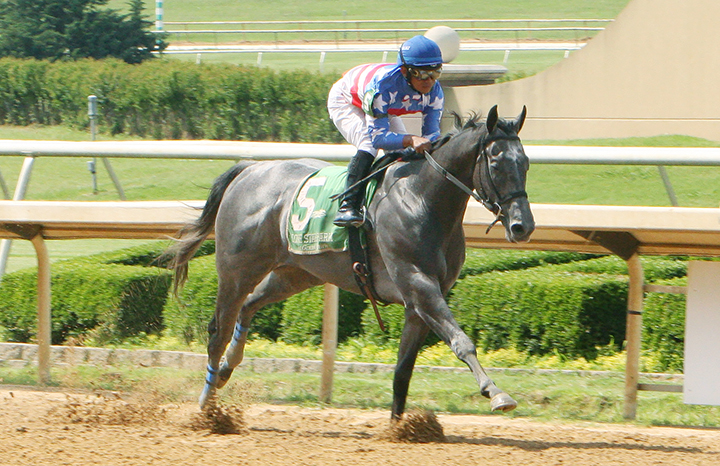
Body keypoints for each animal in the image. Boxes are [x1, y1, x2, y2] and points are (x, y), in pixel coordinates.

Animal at [166, 105, 535, 420]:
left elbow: (403, 369)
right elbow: (462, 342)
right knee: (218, 329)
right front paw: (496, 393)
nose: (523, 226)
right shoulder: (418, 284)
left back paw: (227, 369)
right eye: (497, 163)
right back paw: (208, 404)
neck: (422, 199)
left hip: (296, 272)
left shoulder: (421, 299)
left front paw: (400, 428)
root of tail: (250, 169)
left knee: (249, 306)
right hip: (237, 271)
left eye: (526, 163)